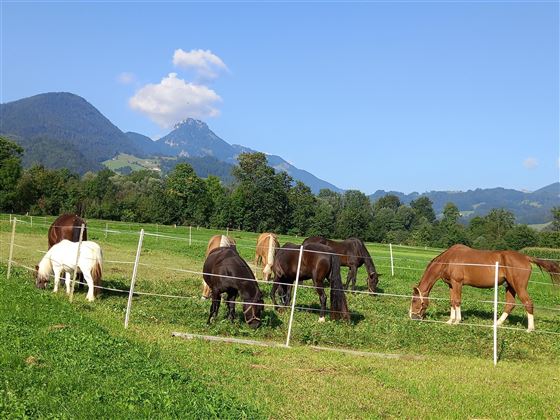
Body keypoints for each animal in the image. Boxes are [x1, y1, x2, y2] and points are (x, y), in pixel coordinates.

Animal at [406, 243, 560, 332]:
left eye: (414, 301)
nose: (413, 317)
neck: (448, 259)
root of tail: (526, 257)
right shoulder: (451, 285)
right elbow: (452, 302)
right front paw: (450, 320)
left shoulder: (457, 283)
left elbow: (457, 301)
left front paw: (457, 321)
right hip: (510, 287)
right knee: (510, 304)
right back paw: (496, 324)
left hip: (518, 286)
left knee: (528, 303)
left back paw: (530, 329)